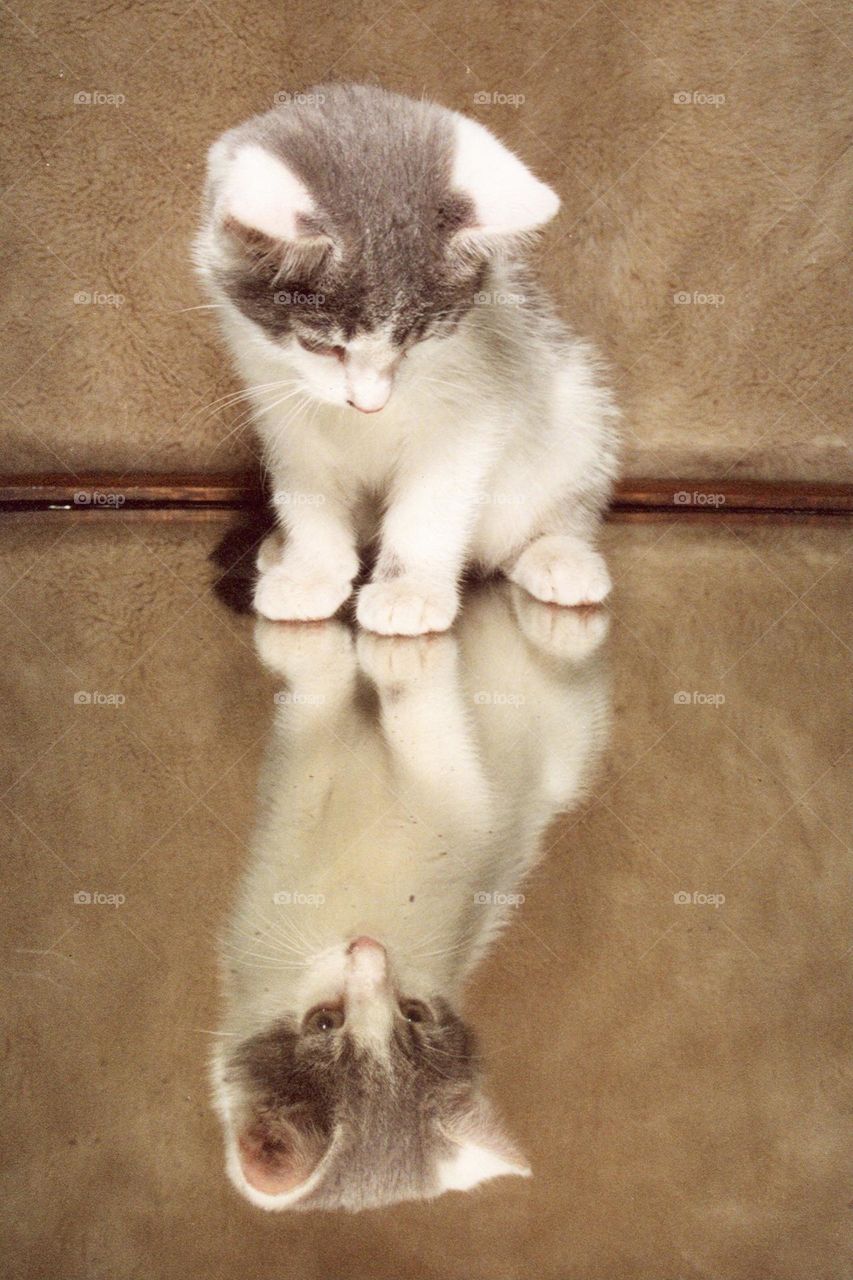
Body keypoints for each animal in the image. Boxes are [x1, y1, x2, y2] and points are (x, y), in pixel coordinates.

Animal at [193, 85, 617, 634]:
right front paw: (311, 570)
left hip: (575, 407)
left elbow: (431, 503)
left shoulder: (475, 397)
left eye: (415, 342)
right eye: (323, 346)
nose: (369, 404)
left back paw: (559, 556)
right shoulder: (278, 397)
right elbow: (308, 488)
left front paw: (409, 589)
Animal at [213, 586, 612, 1213]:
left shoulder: (460, 801)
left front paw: (393, 662)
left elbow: (427, 743)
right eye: (324, 1023)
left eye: (413, 1013)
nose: (368, 949)